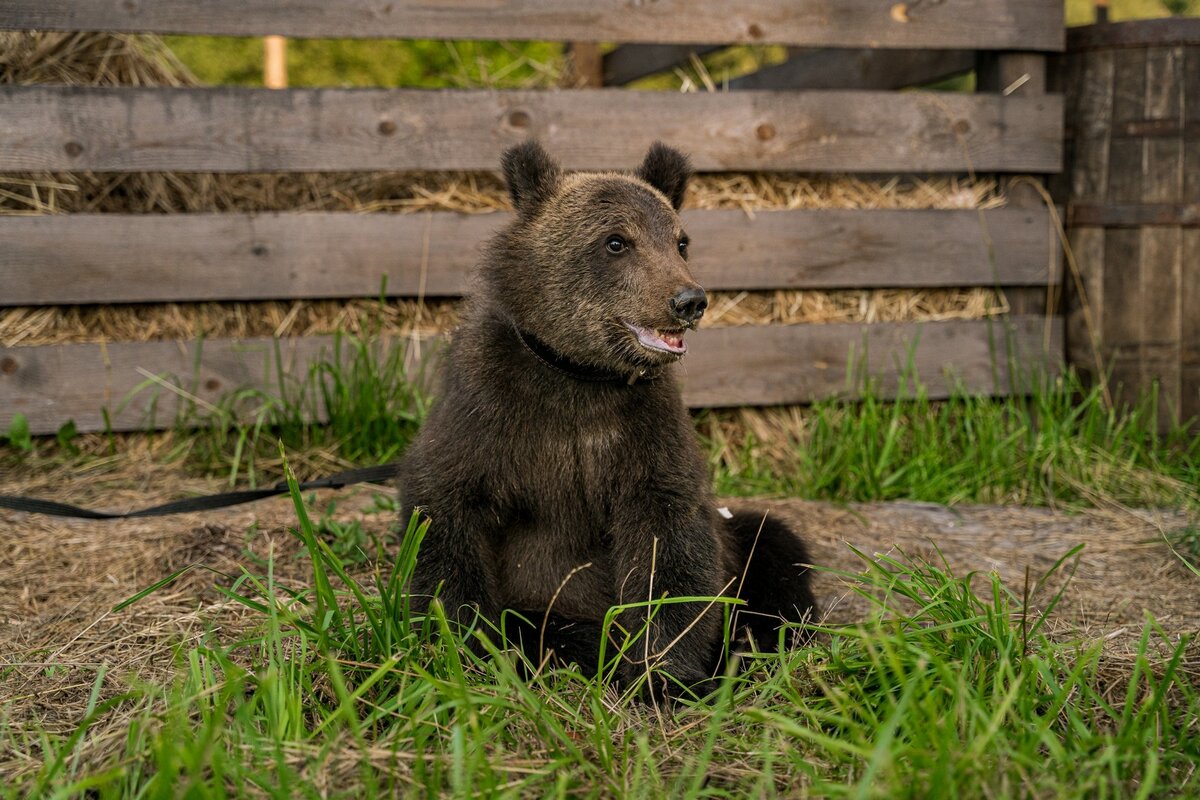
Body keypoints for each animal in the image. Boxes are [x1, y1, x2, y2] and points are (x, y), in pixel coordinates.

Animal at [398, 140, 820, 690]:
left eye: (680, 242)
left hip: (741, 542)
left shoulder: (643, 434)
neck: (578, 376)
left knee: (774, 543)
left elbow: (670, 541)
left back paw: (764, 639)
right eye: (616, 241)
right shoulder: (488, 414)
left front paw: (663, 672)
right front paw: (465, 643)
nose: (689, 300)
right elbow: (445, 514)